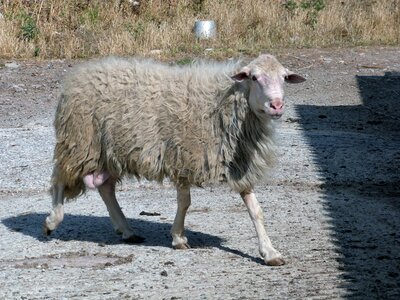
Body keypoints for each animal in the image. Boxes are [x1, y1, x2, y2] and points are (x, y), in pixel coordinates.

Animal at [43, 54, 304, 264]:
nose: (276, 105)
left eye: (284, 78)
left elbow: (255, 210)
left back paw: (127, 230)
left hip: (109, 152)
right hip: (79, 143)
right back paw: (52, 221)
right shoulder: (181, 157)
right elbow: (185, 203)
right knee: (59, 180)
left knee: (105, 188)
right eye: (254, 77)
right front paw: (178, 237)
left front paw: (270, 252)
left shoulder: (238, 163)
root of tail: (81, 71)